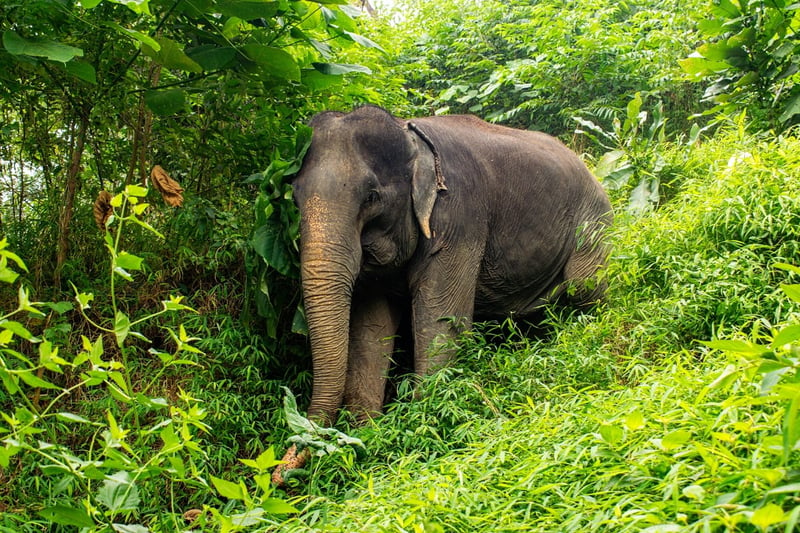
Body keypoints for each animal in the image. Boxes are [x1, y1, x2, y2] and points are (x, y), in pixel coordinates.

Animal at [276, 106, 612, 480]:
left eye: (371, 196)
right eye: (295, 197)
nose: (278, 474)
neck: (407, 132)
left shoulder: (458, 217)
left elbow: (440, 323)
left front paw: (419, 434)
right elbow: (371, 334)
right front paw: (366, 439)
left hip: (595, 226)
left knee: (586, 289)